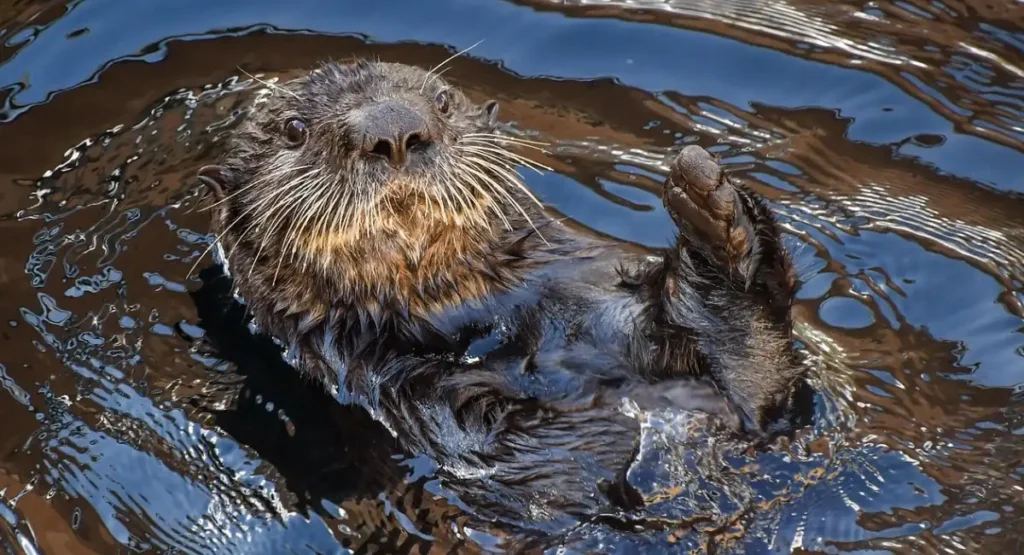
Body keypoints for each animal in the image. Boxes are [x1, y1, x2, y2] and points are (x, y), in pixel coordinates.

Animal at [195, 59, 807, 530]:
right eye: (294, 130)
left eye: (442, 101)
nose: (393, 129)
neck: (479, 321)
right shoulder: (423, 402)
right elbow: (560, 471)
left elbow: (760, 392)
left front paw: (711, 206)